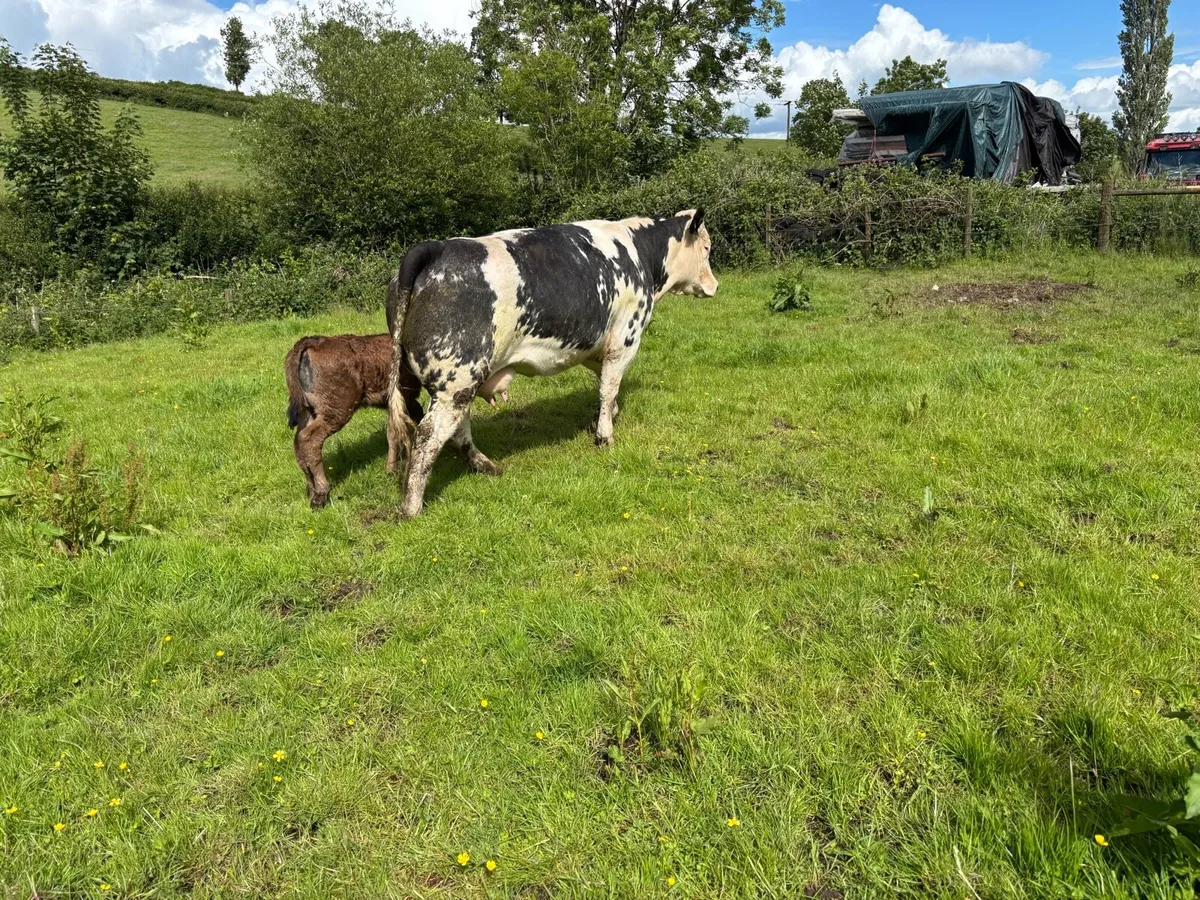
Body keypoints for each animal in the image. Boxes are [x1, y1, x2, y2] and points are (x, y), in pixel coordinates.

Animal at [386, 208, 717, 519]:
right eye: (706, 248)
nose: (714, 286)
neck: (639, 251)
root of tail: (436, 247)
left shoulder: (593, 346)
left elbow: (605, 388)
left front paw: (607, 416)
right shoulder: (623, 340)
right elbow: (609, 388)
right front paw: (605, 436)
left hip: (453, 382)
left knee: (456, 430)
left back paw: (487, 466)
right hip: (457, 379)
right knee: (429, 435)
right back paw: (411, 507)